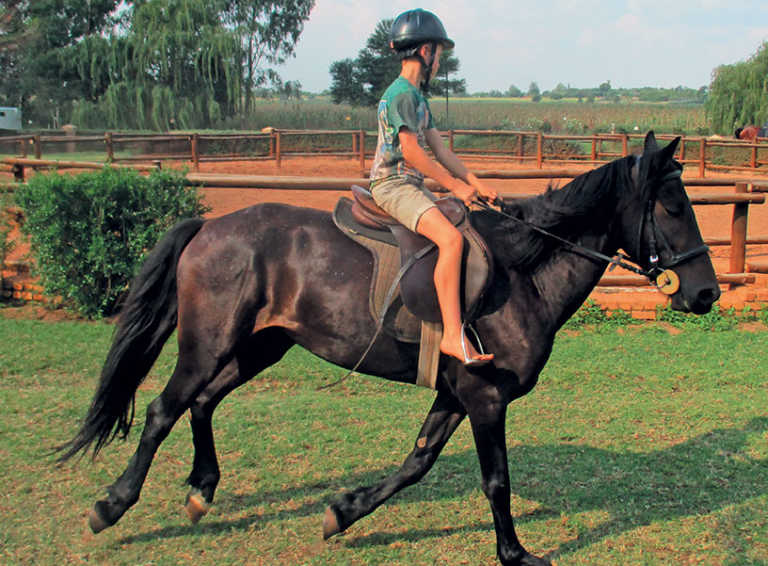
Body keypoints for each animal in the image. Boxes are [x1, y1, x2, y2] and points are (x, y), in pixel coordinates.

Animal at [58, 131, 720, 564]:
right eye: (671, 206)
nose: (707, 293)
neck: (522, 269)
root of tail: (210, 225)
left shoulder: (459, 394)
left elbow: (416, 463)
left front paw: (344, 511)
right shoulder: (486, 398)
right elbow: (496, 480)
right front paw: (514, 553)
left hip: (258, 348)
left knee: (202, 405)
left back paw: (200, 491)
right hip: (207, 344)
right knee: (162, 411)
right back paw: (111, 506)